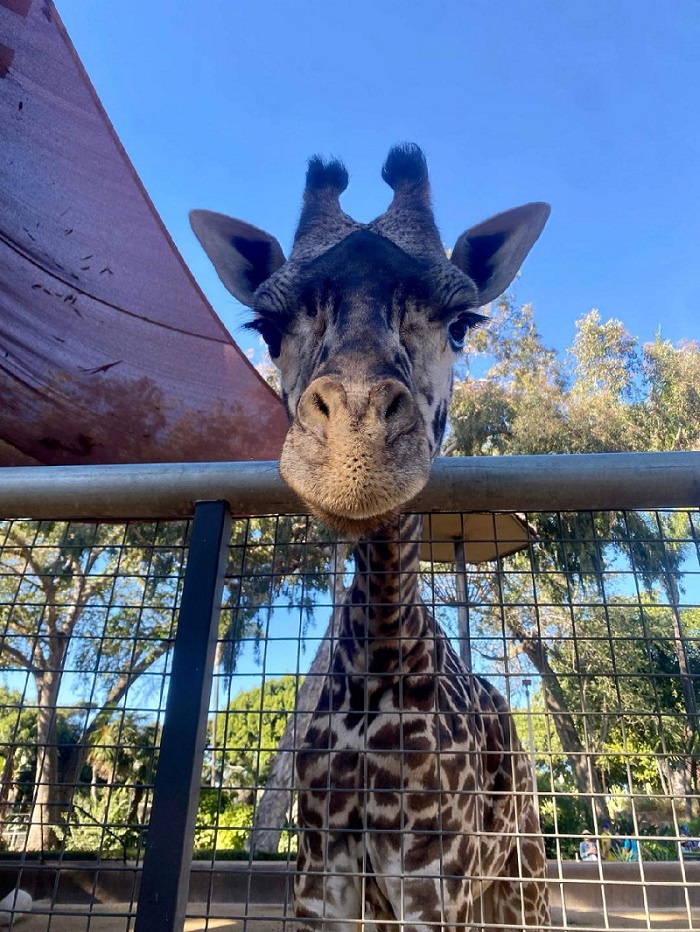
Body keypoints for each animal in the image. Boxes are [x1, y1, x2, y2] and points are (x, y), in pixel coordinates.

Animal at [190, 144, 551, 932]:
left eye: (462, 322)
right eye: (266, 326)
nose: (354, 456)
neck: (378, 668)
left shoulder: (434, 884)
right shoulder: (320, 885)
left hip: (523, 879)